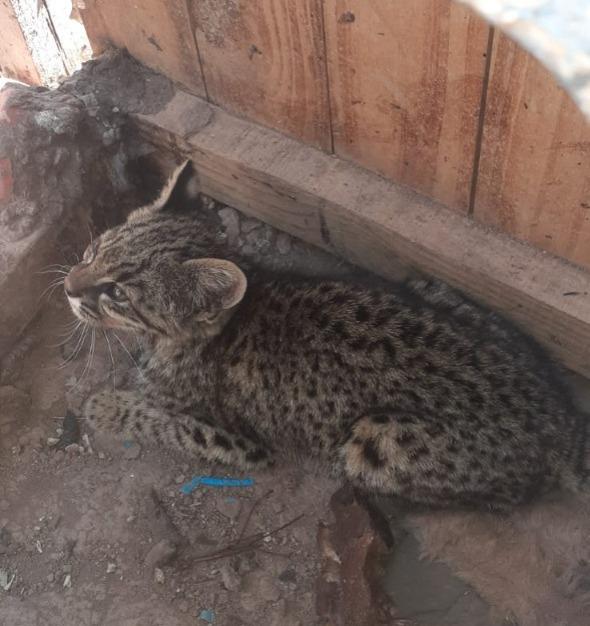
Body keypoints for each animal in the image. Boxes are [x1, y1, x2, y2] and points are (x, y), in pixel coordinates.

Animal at [66, 160, 588, 510]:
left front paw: (106, 406)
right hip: (428, 287)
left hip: (375, 439)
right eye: (92, 251)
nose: (68, 287)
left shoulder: (239, 440)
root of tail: (560, 424)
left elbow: (161, 419)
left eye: (117, 294)